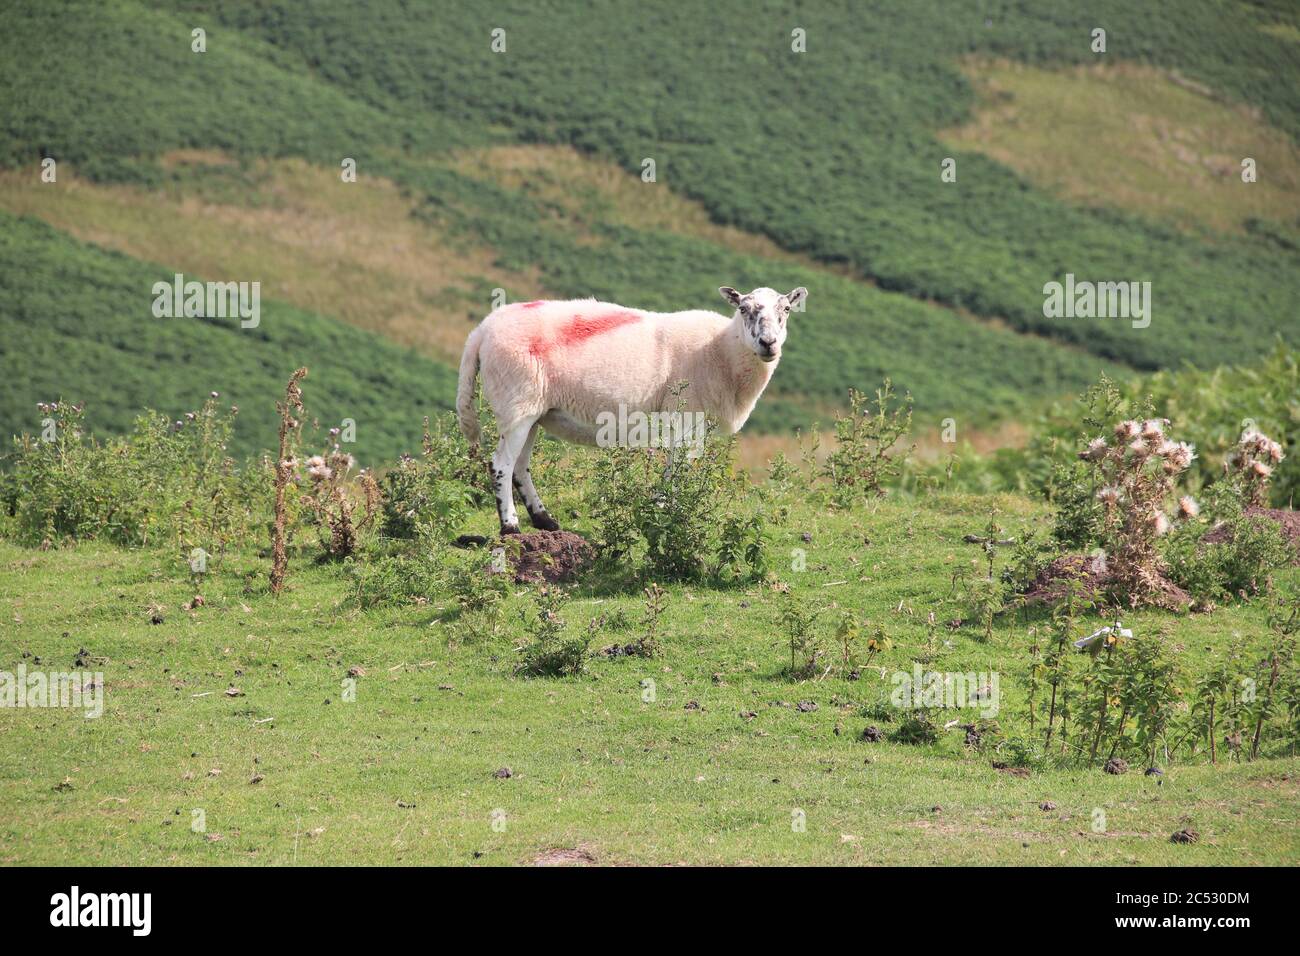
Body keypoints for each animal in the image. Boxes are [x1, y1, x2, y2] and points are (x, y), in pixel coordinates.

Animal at [454, 283, 800, 538]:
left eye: (785, 310)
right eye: (743, 309)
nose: (768, 343)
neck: (722, 350)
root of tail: (481, 331)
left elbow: (675, 470)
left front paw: (664, 508)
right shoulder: (687, 416)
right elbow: (677, 472)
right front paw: (670, 511)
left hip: (532, 410)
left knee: (520, 466)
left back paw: (544, 521)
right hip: (516, 401)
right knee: (501, 464)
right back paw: (510, 526)